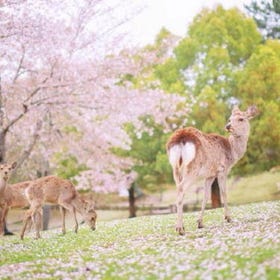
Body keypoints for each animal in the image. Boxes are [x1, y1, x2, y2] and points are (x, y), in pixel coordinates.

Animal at [166, 104, 258, 234]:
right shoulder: (222, 169)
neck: (232, 152)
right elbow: (224, 192)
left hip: (174, 166)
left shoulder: (210, 174)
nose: (228, 126)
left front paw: (200, 223)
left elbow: (206, 196)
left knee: (179, 189)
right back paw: (180, 229)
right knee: (181, 188)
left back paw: (180, 226)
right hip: (193, 167)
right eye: (230, 119)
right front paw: (228, 218)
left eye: (241, 119)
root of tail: (180, 138)